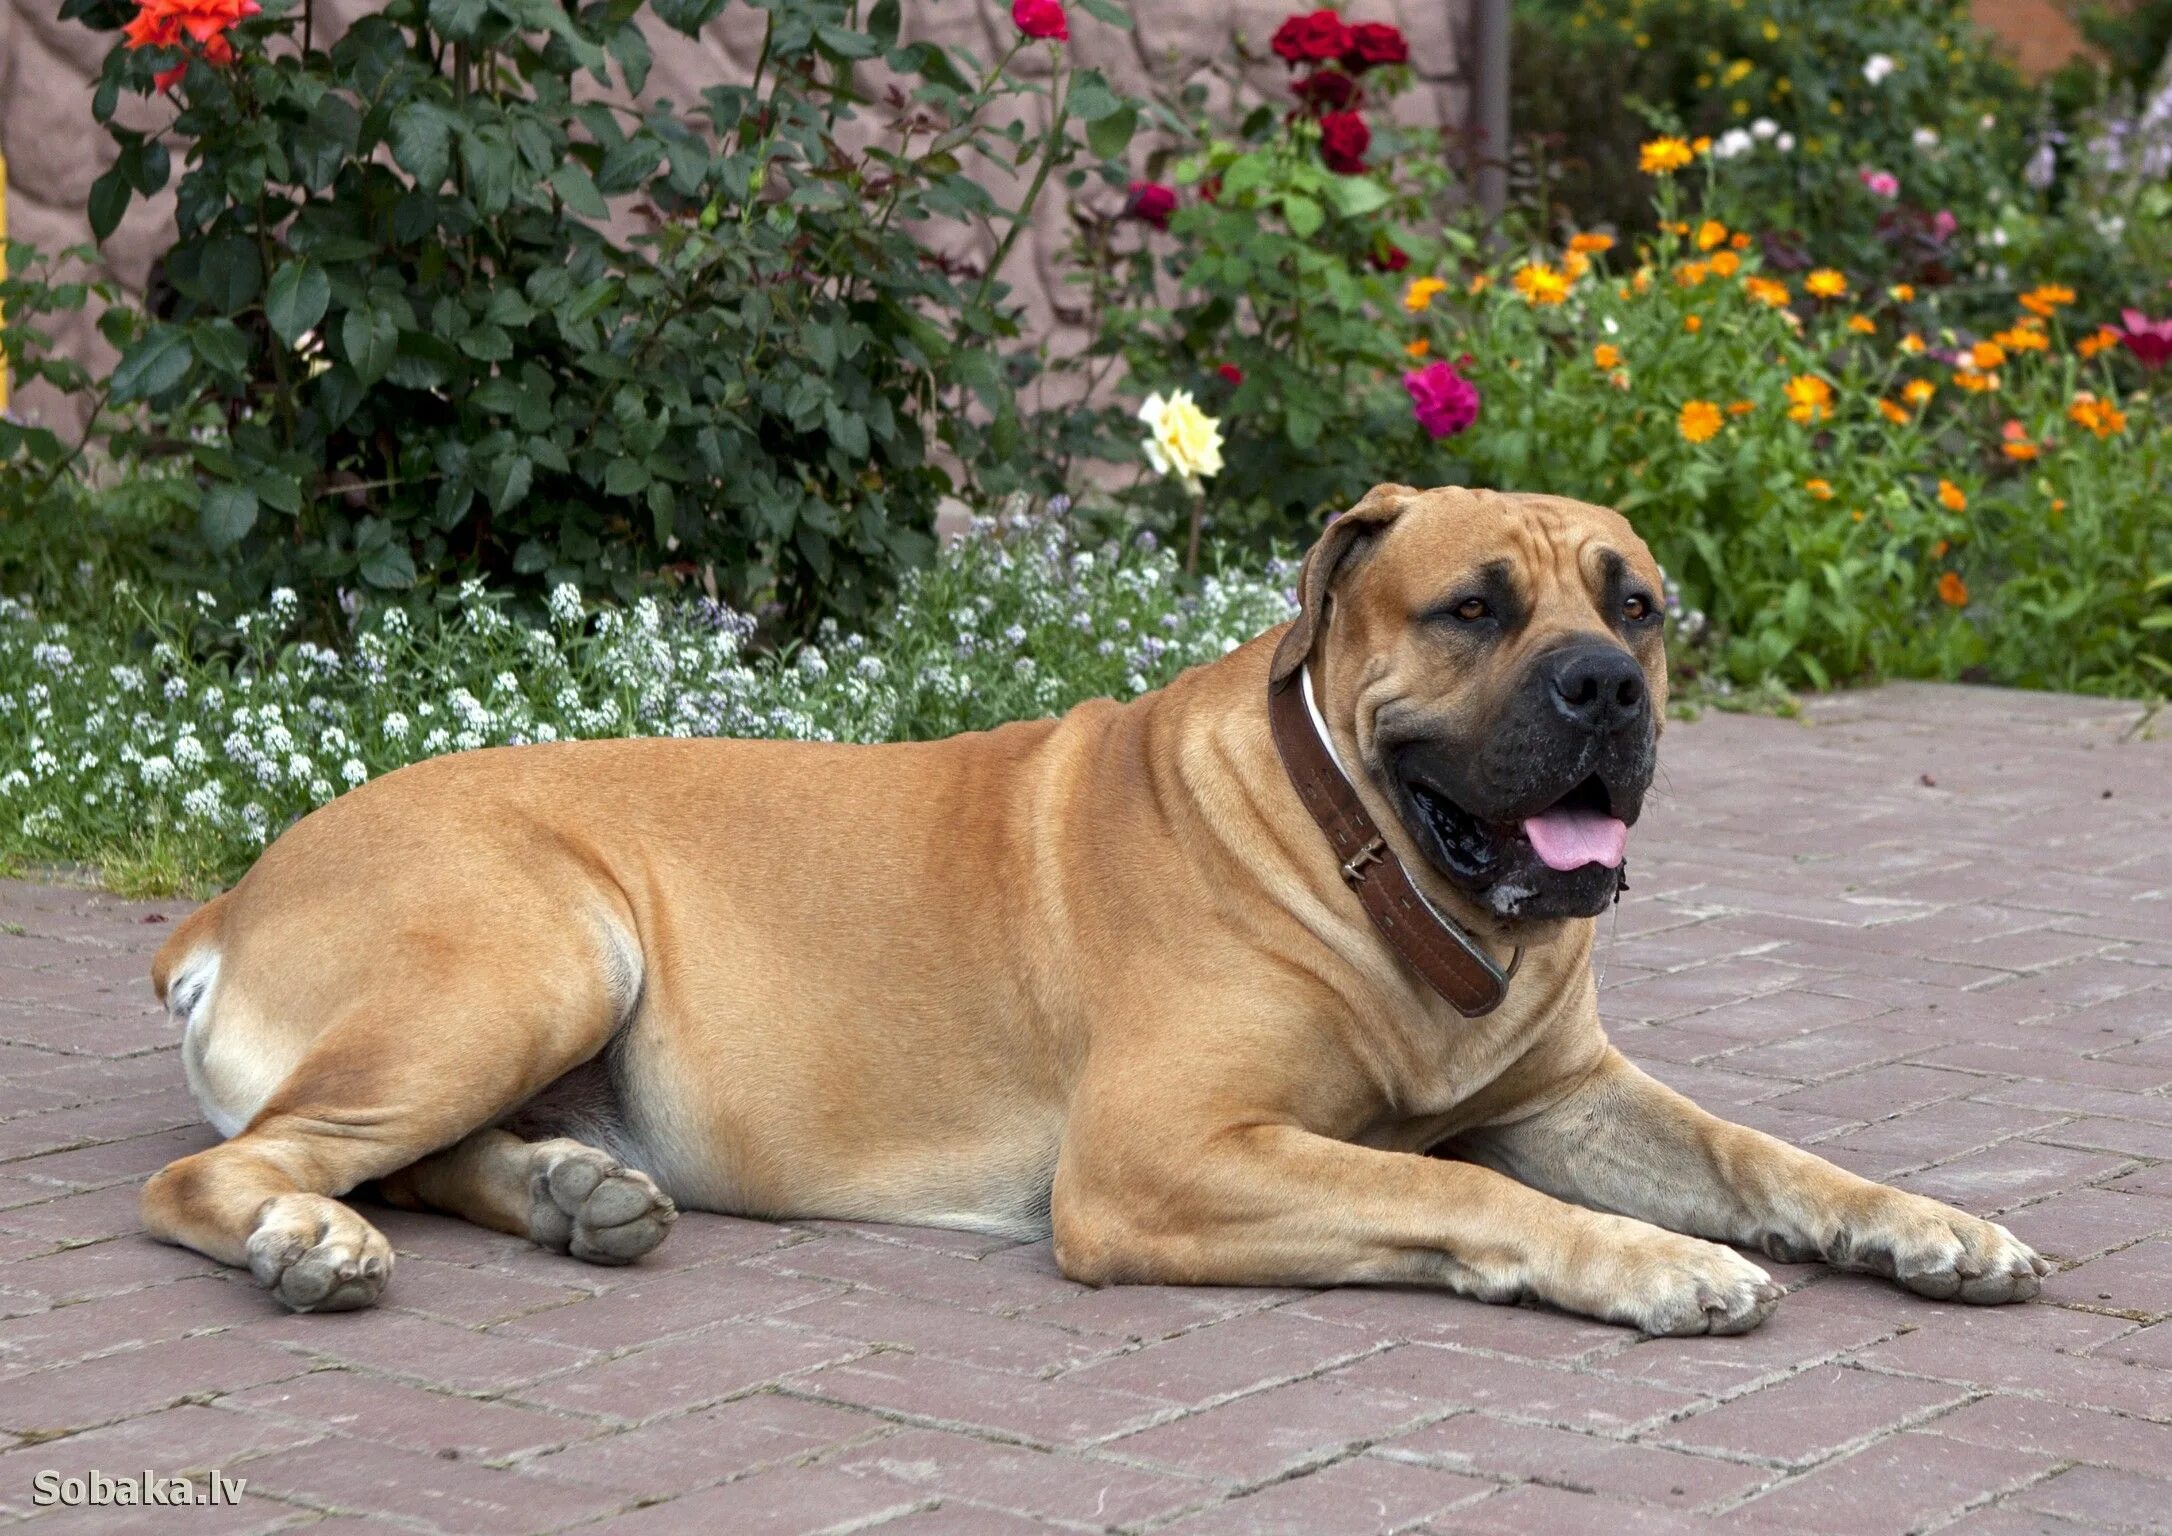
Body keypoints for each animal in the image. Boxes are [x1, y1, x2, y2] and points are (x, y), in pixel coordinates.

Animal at [144, 486, 2041, 1329]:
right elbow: (1448, 1192)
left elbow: (1762, 1156)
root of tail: (227, 895)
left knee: (390, 1152)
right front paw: (1654, 1264)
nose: (1605, 690)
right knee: (229, 1175)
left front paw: (1924, 1228)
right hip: (529, 957)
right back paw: (308, 1243)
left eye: (1634, 603)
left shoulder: (1571, 1094)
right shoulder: (1162, 1159)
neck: (1375, 872)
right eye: (1474, 609)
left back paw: (568, 1191)